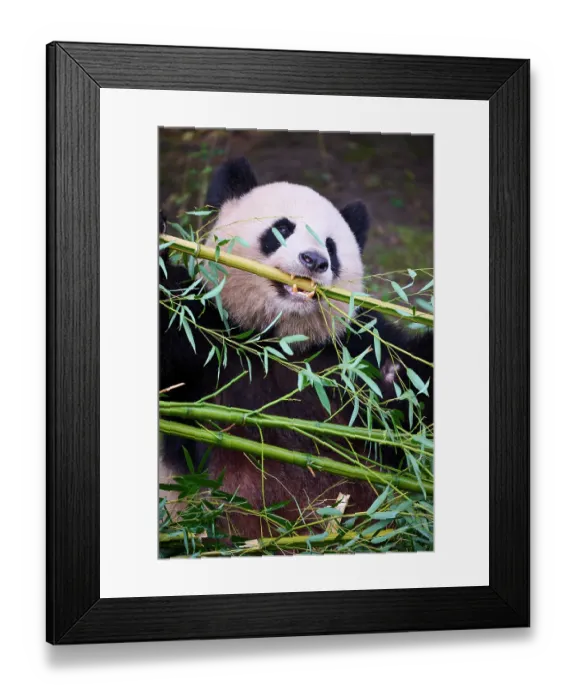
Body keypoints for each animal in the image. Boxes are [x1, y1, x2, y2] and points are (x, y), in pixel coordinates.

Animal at [159, 157, 433, 540]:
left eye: (331, 246)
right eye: (283, 229)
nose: (315, 260)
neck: (279, 341)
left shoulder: (357, 351)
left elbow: (409, 401)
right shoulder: (204, 337)